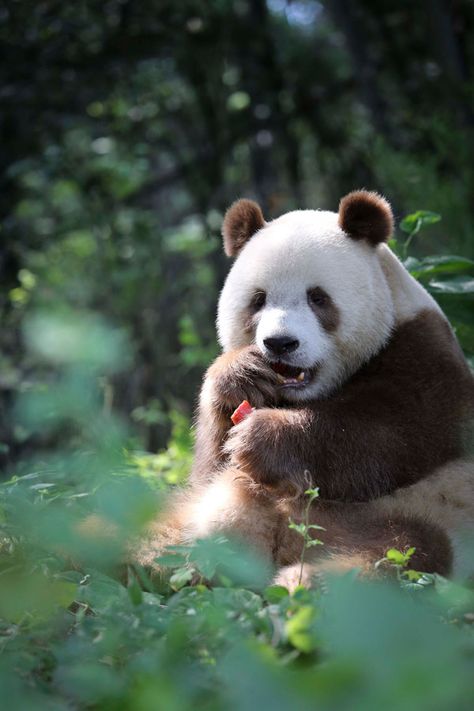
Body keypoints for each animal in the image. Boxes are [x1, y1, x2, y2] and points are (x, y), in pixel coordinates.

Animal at [139, 189, 474, 588]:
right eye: (258, 299)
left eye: (317, 297)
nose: (280, 344)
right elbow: (210, 463)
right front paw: (241, 376)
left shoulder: (426, 358)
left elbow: (384, 435)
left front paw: (260, 439)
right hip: (183, 520)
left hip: (410, 519)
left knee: (401, 554)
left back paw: (302, 585)